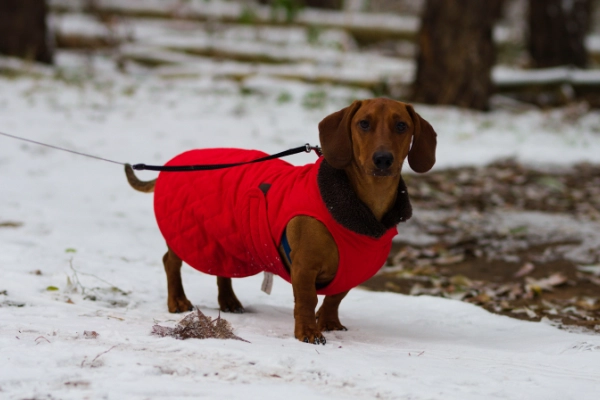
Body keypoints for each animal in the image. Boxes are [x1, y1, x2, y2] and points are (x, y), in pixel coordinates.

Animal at [126, 97, 436, 344]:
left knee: (221, 271)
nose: (383, 159)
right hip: (187, 233)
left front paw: (329, 322)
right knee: (170, 263)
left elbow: (335, 298)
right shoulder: (304, 268)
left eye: (401, 126)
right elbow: (308, 300)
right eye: (363, 124)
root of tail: (171, 165)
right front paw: (309, 332)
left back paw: (229, 301)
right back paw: (178, 301)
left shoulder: (351, 271)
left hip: (224, 239)